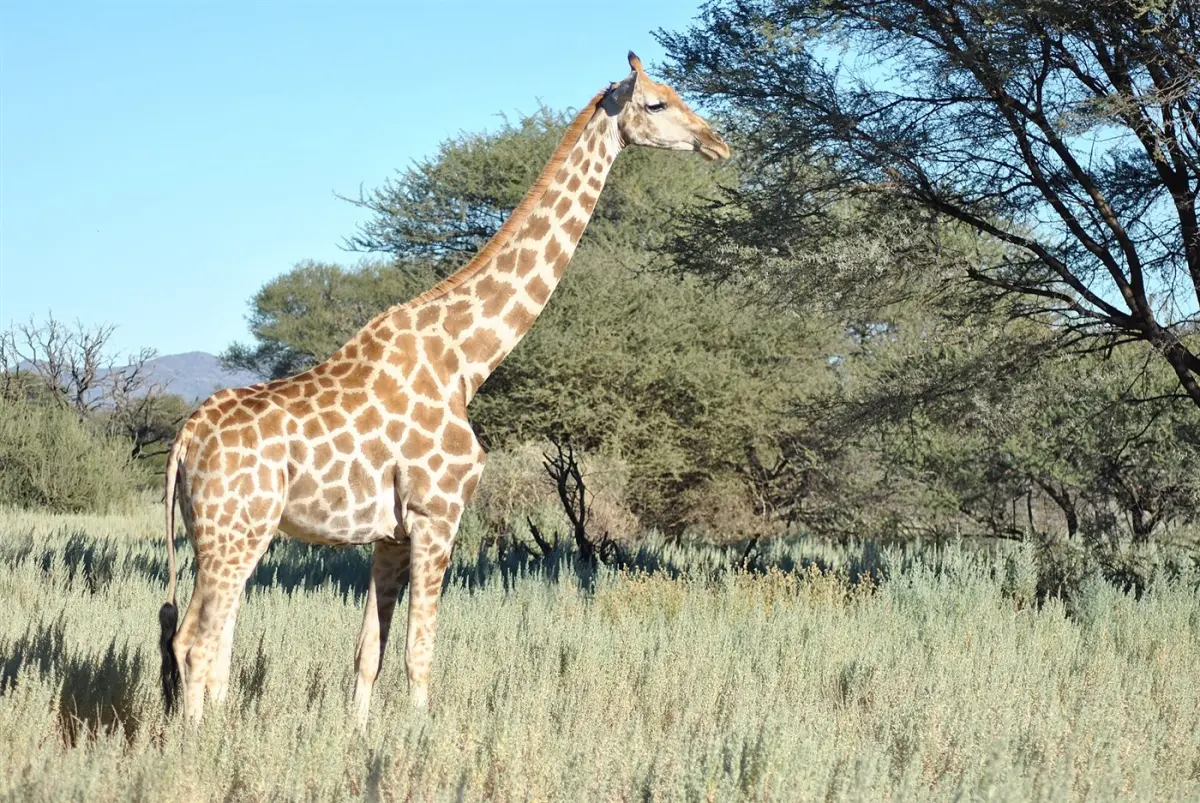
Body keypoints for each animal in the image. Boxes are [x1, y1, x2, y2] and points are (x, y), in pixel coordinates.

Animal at [158, 52, 730, 727]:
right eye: (657, 102)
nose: (717, 141)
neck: (465, 359)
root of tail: (184, 441)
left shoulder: (390, 533)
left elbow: (368, 655)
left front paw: (359, 737)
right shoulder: (440, 513)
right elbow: (419, 655)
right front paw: (416, 739)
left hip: (222, 533)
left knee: (211, 640)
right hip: (236, 529)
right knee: (194, 641)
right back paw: (202, 745)